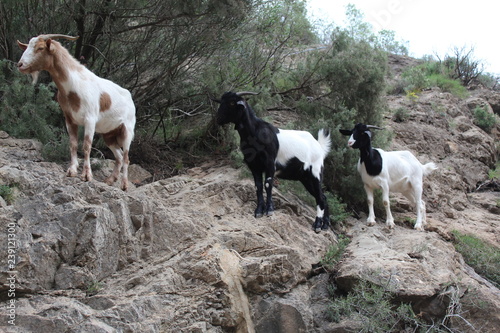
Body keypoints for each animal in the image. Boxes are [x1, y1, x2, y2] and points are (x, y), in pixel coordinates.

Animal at [17, 34, 136, 189]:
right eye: (27, 47)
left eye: (41, 48)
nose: (20, 65)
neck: (74, 87)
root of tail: (130, 98)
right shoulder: (70, 119)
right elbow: (73, 144)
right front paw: (72, 170)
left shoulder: (90, 119)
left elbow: (86, 146)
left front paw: (86, 175)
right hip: (109, 134)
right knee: (119, 156)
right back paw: (110, 180)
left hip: (127, 130)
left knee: (126, 157)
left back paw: (124, 185)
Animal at [214, 91, 332, 231]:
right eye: (221, 101)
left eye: (232, 102)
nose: (218, 118)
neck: (255, 132)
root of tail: (319, 146)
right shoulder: (254, 165)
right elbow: (258, 186)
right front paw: (259, 211)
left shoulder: (270, 163)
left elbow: (268, 184)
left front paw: (269, 210)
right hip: (305, 178)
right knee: (323, 197)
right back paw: (325, 225)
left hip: (315, 172)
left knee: (320, 197)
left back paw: (318, 224)